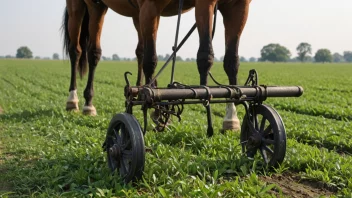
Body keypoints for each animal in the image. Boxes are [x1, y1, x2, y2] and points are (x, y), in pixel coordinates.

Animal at [62, 0, 250, 131]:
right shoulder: (151, 6)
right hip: (86, 6)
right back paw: (77, 101)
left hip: (134, 13)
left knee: (138, 50)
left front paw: (231, 117)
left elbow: (231, 61)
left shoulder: (239, 4)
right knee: (83, 51)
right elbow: (153, 59)